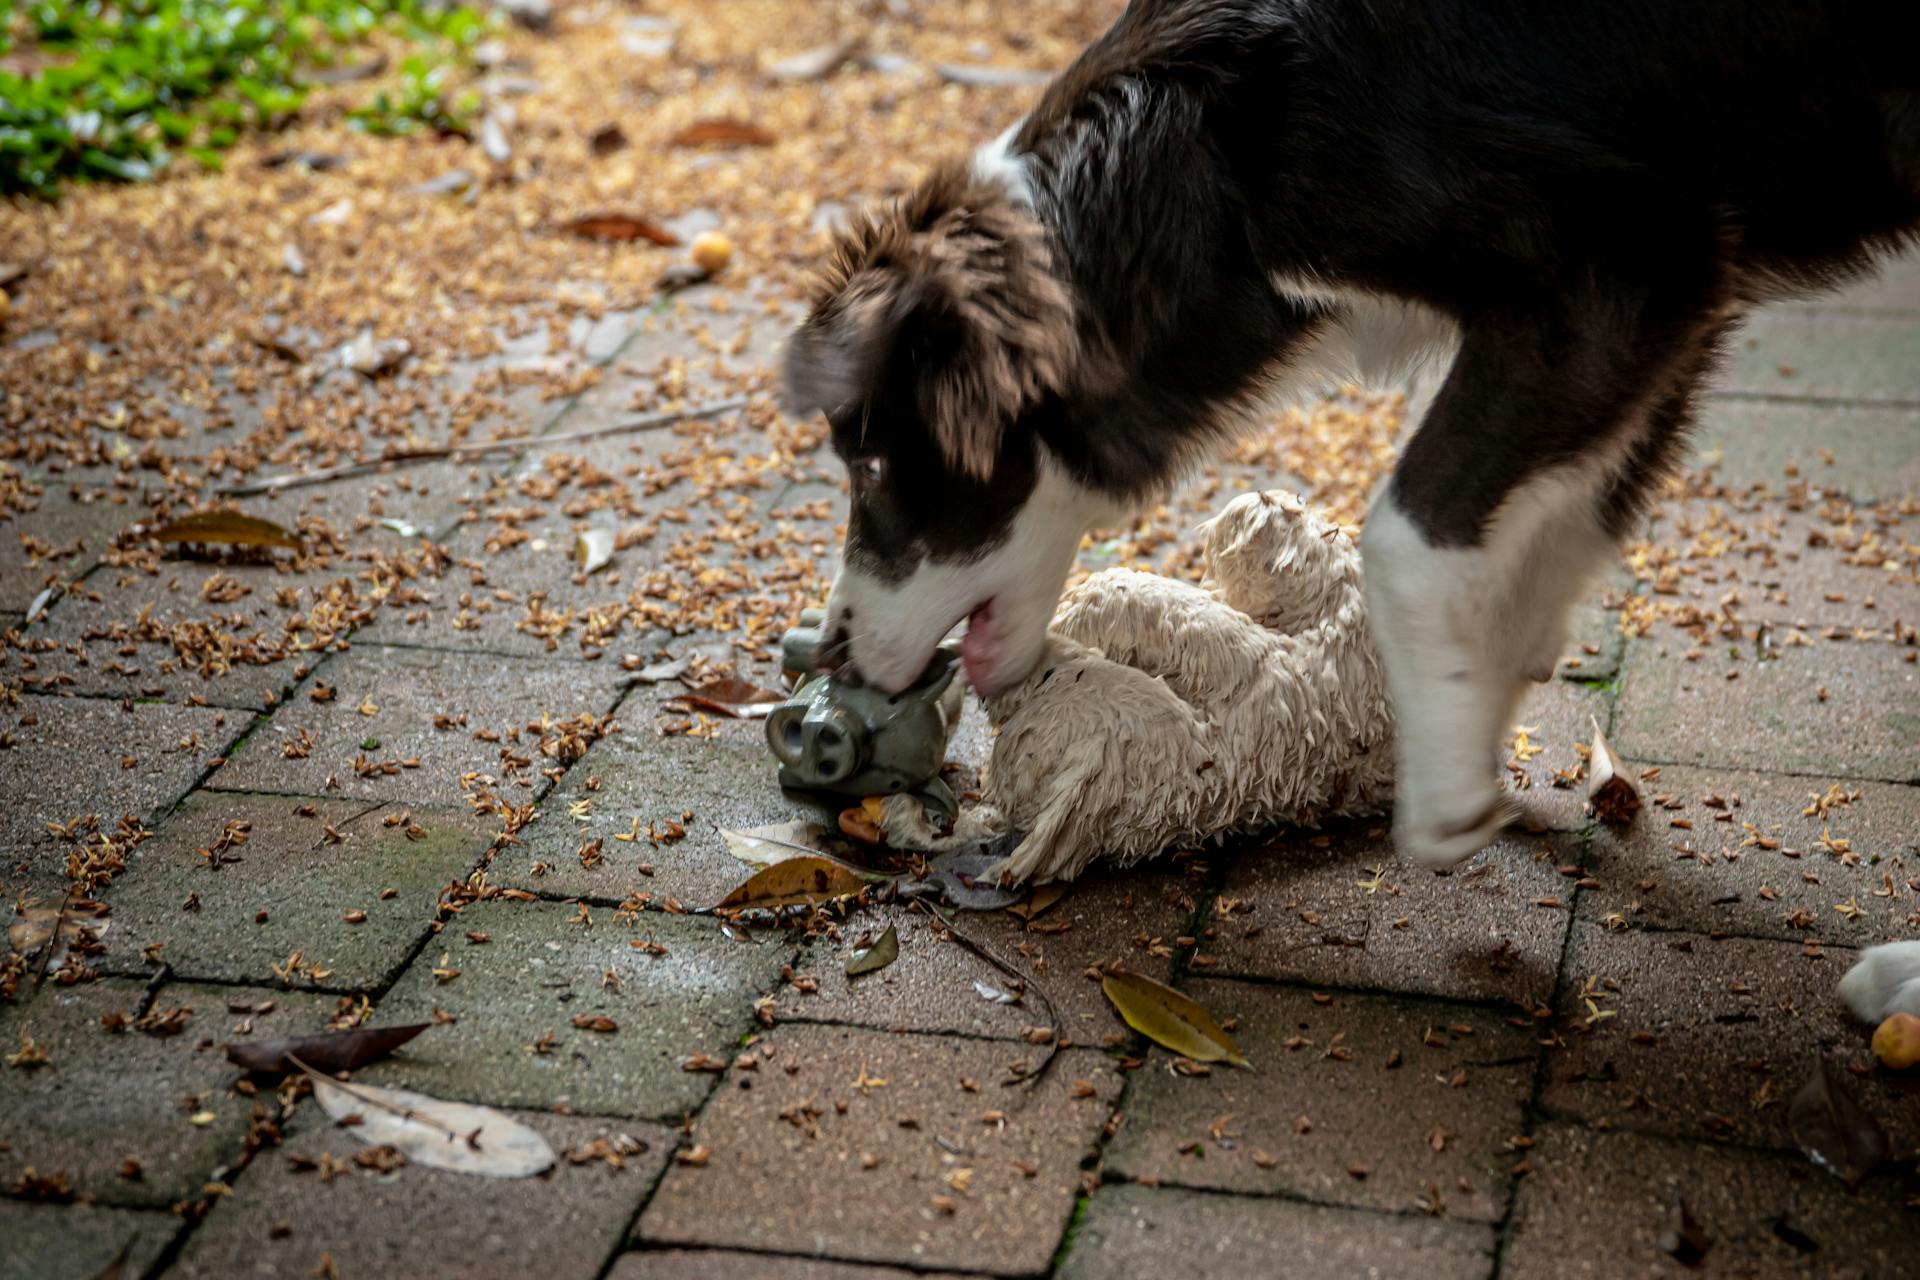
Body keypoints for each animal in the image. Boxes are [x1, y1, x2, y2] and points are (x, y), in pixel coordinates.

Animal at [779, 0, 1920, 871]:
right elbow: (1566, 521)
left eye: (873, 464)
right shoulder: (1672, 308)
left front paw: (1448, 787)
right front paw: (1480, 698)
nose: (825, 652)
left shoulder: (1622, 269)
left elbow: (1407, 532)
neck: (1215, 172)